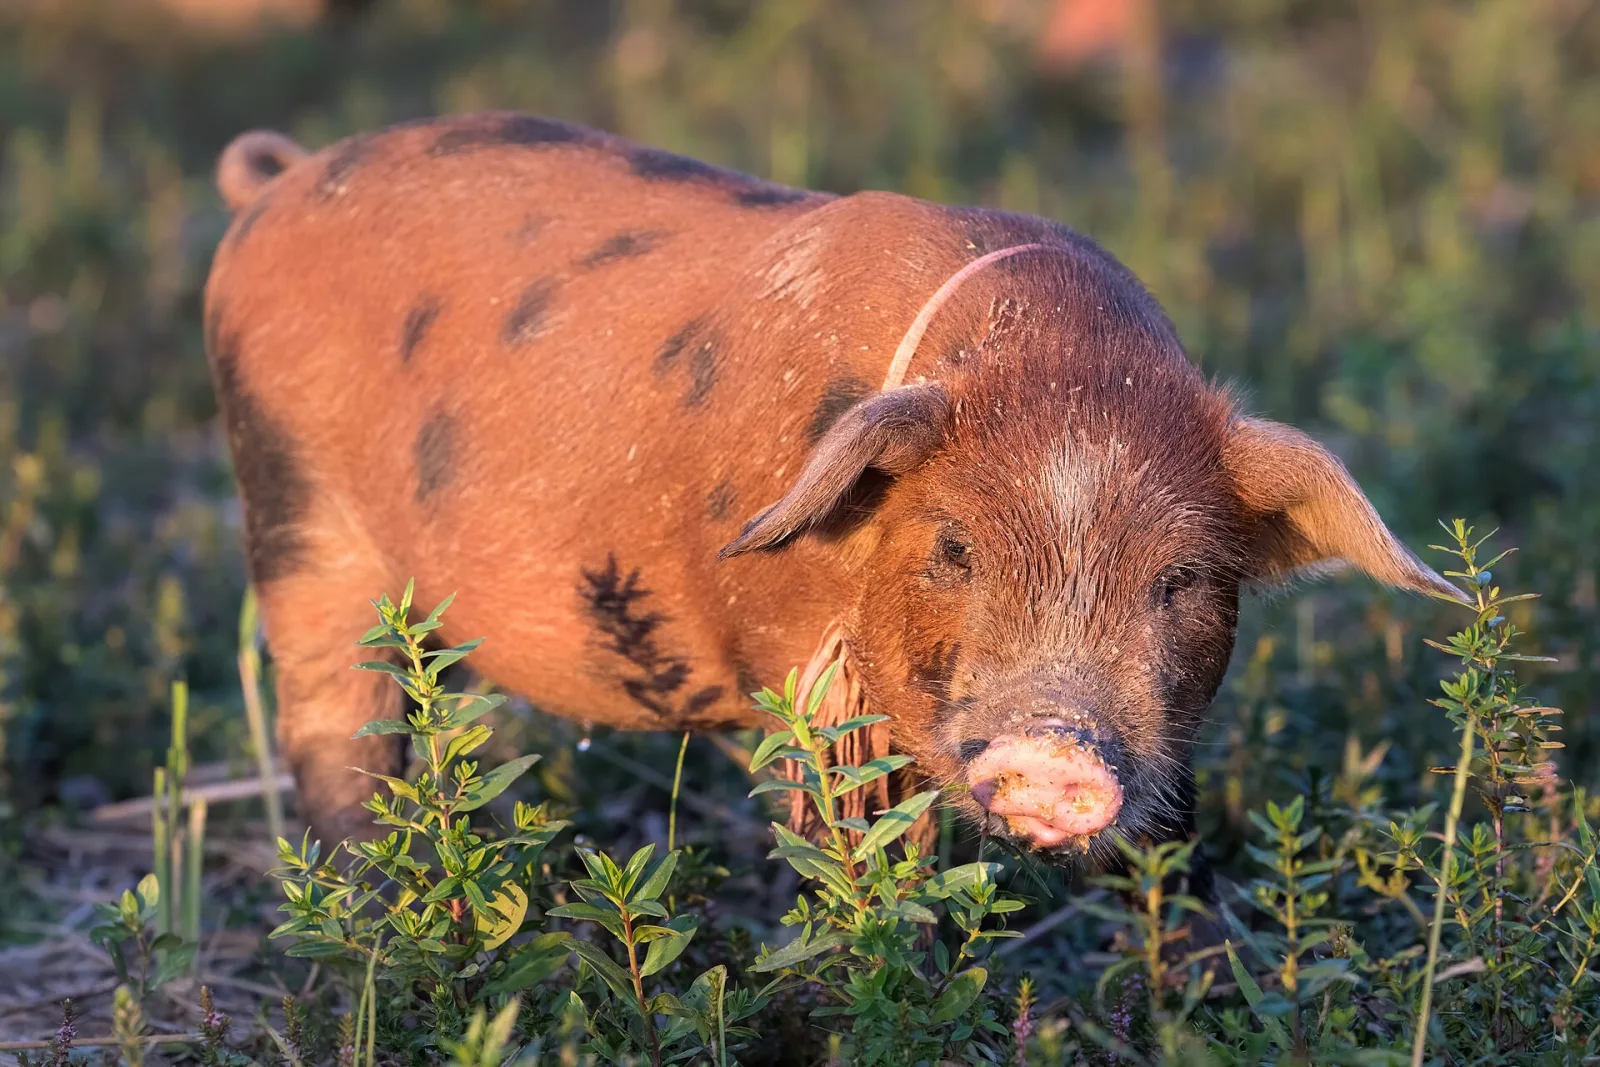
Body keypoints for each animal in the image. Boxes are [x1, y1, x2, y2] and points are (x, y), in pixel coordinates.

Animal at [203, 111, 1461, 874]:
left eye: (1183, 575)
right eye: (952, 546)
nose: (1054, 744)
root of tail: (281, 183)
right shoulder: (804, 678)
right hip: (293, 515)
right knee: (334, 732)